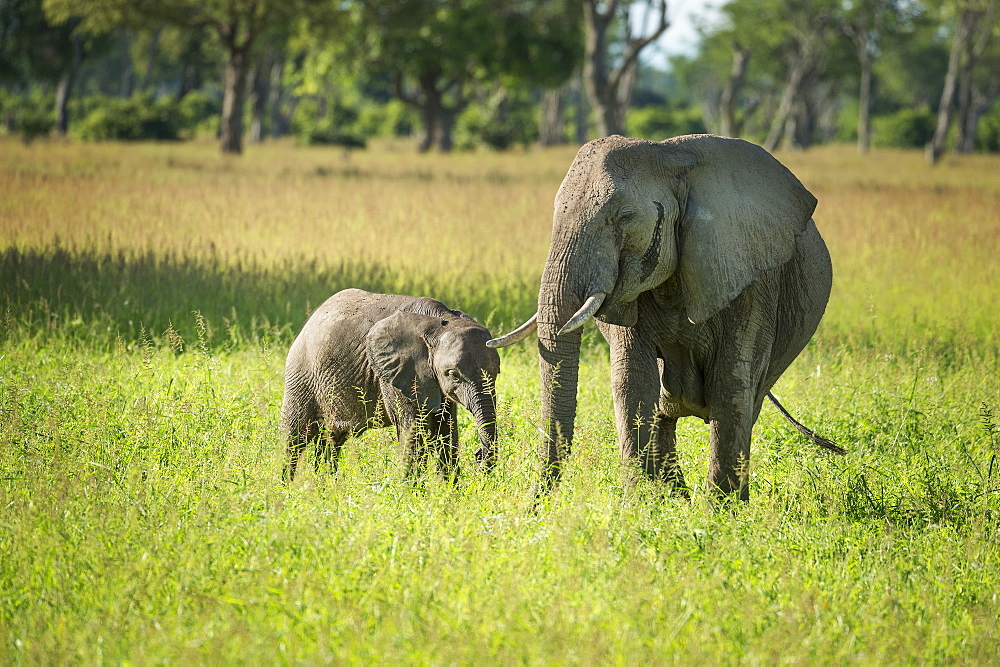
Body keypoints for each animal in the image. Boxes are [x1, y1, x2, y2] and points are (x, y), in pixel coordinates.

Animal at [280, 290, 500, 482]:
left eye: (497, 372)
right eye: (453, 374)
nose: (478, 454)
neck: (440, 323)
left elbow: (446, 430)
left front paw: (449, 493)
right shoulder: (399, 372)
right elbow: (413, 431)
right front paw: (413, 495)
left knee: (331, 441)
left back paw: (323, 490)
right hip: (301, 373)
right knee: (294, 438)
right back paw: (287, 491)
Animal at [488, 134, 840, 500]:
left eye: (625, 216)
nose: (531, 505)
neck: (670, 156)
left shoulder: (752, 278)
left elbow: (730, 383)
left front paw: (722, 510)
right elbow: (632, 380)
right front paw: (643, 505)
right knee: (663, 409)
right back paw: (674, 497)